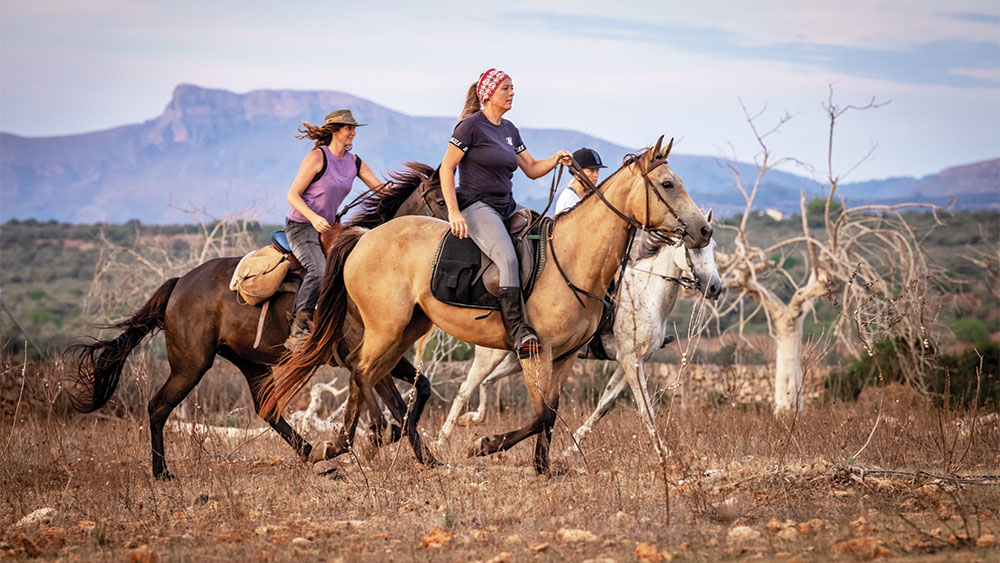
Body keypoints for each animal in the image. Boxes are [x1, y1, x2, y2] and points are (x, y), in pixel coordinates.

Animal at [70, 163, 446, 480]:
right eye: (440, 200)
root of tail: (179, 283)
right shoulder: (364, 356)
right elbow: (397, 404)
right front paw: (394, 442)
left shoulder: (388, 355)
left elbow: (420, 391)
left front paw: (425, 456)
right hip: (191, 364)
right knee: (158, 407)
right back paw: (162, 472)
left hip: (249, 362)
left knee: (268, 410)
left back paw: (314, 455)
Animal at [438, 223, 720, 452]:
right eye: (693, 249)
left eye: (714, 247)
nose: (715, 288)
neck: (647, 293)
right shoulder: (631, 361)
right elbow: (645, 408)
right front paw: (664, 452)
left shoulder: (630, 362)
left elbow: (605, 404)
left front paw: (571, 448)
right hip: (491, 356)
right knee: (465, 390)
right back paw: (443, 440)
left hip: (517, 359)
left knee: (487, 384)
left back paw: (472, 420)